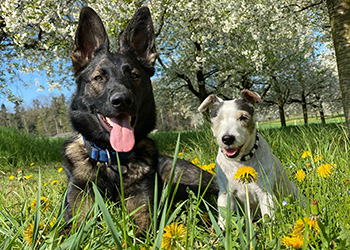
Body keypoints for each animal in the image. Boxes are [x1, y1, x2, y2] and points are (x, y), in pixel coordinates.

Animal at [62, 5, 216, 236]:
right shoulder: (78, 202)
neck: (112, 159)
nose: (122, 100)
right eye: (99, 77)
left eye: (134, 75)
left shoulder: (145, 215)